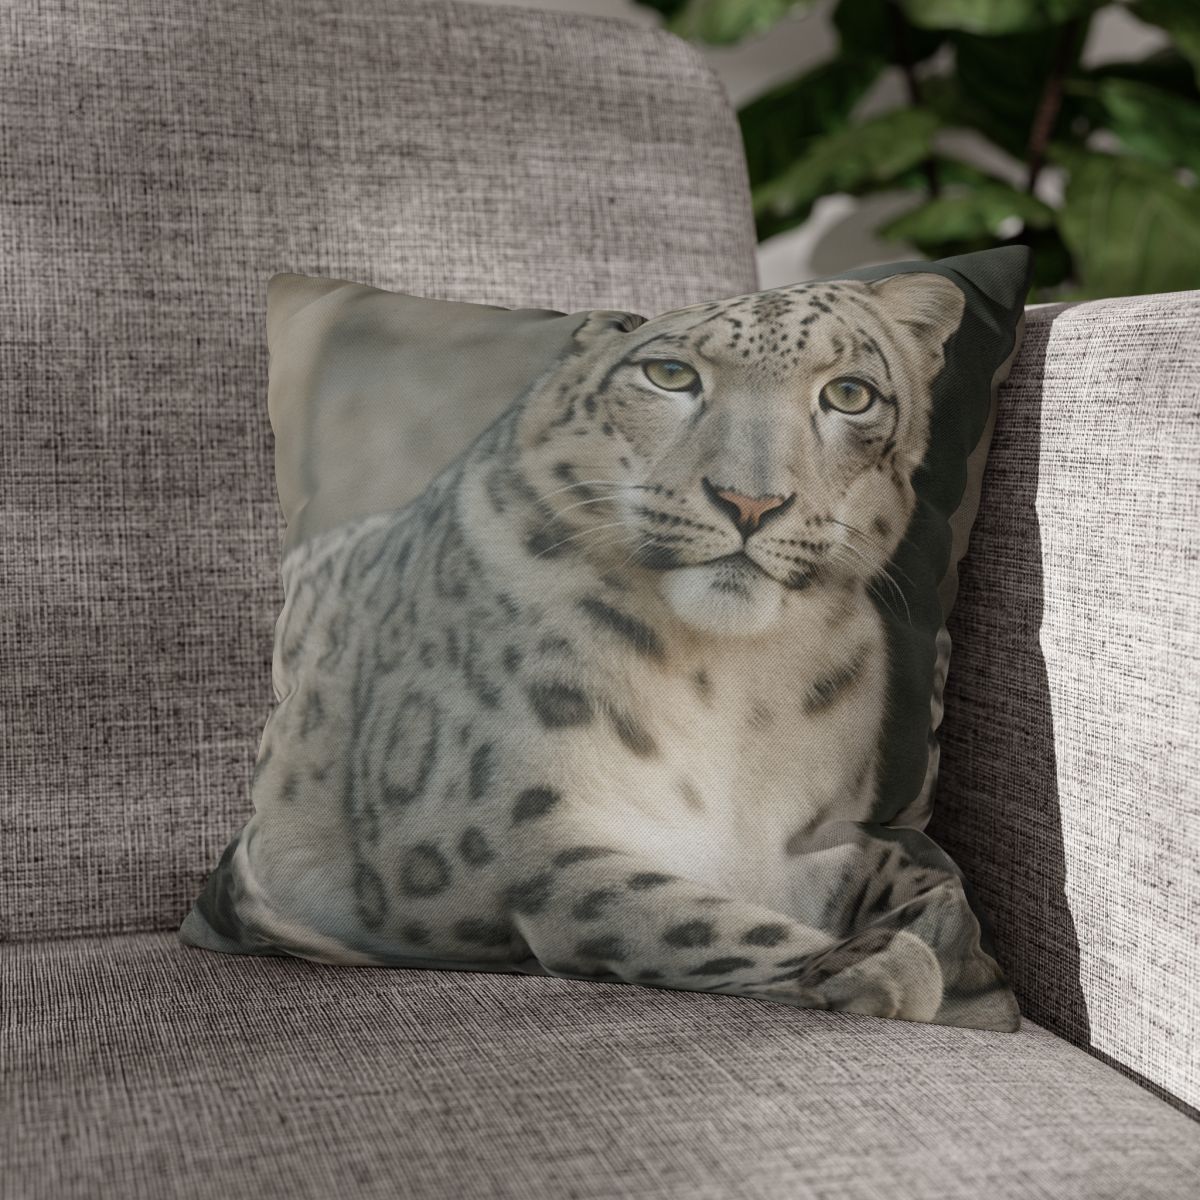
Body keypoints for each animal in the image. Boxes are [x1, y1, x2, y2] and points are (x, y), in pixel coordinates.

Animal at [181, 272, 1019, 1032]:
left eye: (849, 394)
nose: (749, 502)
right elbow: (672, 910)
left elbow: (903, 871)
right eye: (671, 374)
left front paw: (933, 928)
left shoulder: (801, 836)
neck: (737, 683)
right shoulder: (497, 836)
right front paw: (876, 962)